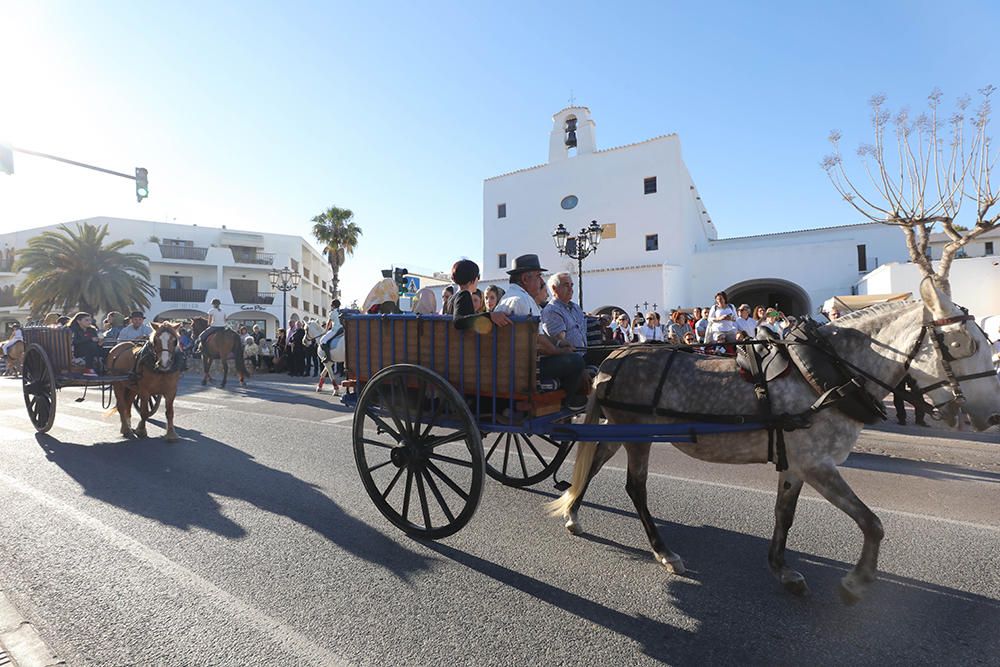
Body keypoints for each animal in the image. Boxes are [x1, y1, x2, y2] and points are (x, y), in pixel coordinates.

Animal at [552, 276, 996, 604]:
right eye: (963, 344)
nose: (991, 415)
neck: (827, 376)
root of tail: (615, 355)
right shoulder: (818, 464)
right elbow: (872, 522)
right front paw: (856, 582)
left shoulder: (797, 463)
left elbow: (785, 515)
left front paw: (782, 569)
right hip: (637, 435)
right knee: (635, 487)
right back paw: (664, 551)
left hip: (619, 430)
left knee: (592, 461)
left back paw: (573, 513)